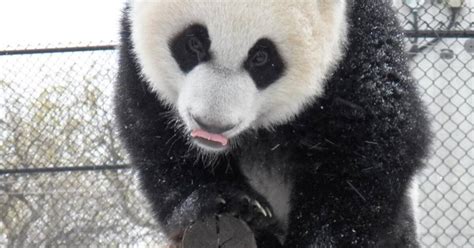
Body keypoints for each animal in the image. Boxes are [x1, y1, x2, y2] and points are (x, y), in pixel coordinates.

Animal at [114, 0, 430, 247]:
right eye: (194, 43)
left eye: (262, 57)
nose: (211, 125)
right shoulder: (134, 52)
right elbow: (152, 130)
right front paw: (226, 201)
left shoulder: (357, 45)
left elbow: (368, 149)